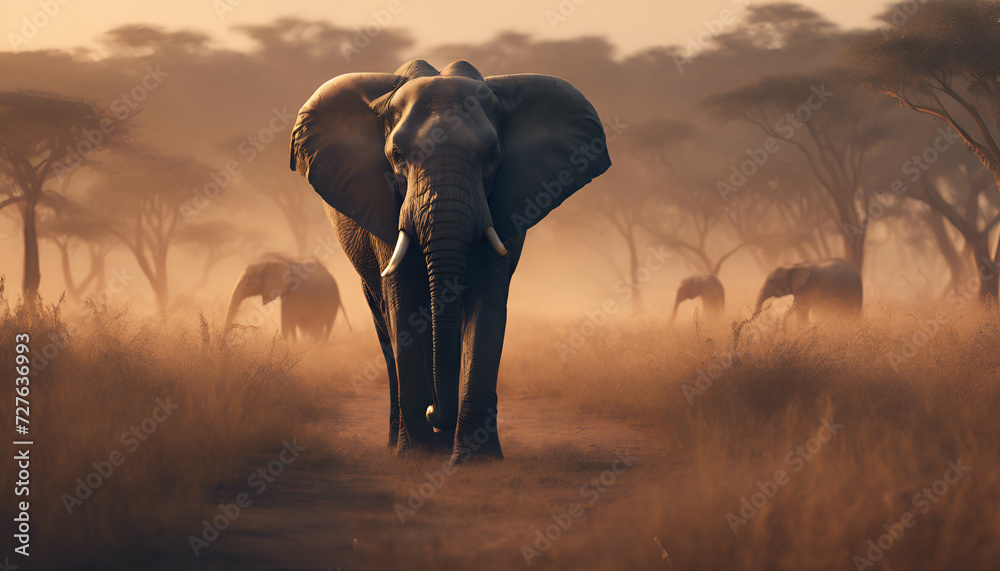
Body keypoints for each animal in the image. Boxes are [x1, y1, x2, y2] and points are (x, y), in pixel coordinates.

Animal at [289, 59, 611, 463]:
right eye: (397, 156)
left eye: (491, 157)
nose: (433, 413)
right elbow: (403, 305)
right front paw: (418, 456)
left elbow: (486, 304)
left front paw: (476, 460)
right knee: (384, 321)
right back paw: (400, 444)